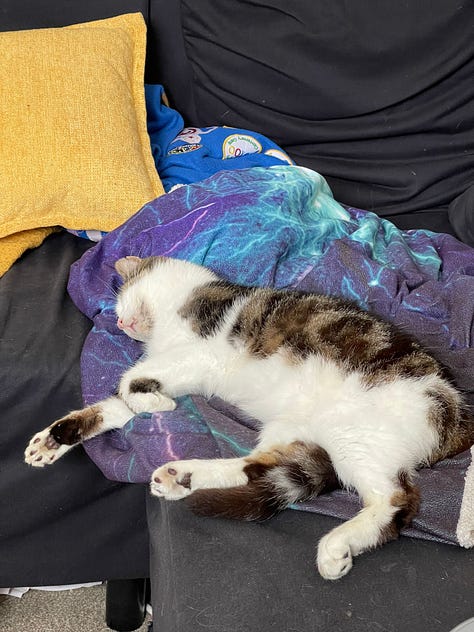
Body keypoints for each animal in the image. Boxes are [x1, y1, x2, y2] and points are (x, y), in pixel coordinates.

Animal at [26, 256, 474, 576]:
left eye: (122, 299)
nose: (119, 321)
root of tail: (457, 407)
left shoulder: (197, 354)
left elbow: (128, 381)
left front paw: (156, 405)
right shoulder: (174, 367)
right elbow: (118, 400)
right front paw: (55, 438)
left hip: (356, 434)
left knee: (397, 503)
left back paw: (337, 546)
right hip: (295, 429)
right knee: (256, 467)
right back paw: (182, 476)